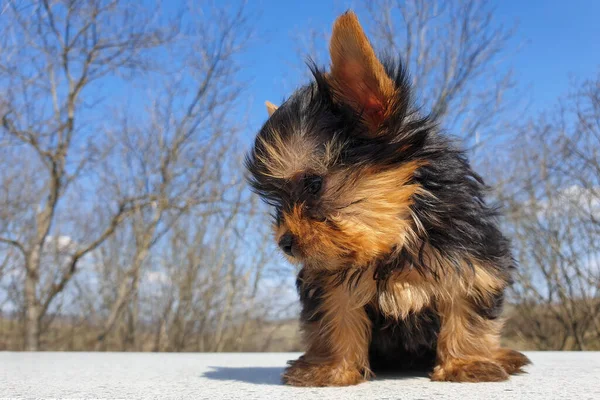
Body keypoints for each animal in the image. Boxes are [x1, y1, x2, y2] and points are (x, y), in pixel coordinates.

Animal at [244, 10, 528, 386]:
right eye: (278, 200)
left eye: (314, 185)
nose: (285, 243)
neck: (397, 237)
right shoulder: (330, 281)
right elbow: (338, 318)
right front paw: (331, 368)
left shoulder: (471, 262)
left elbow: (466, 311)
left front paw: (466, 363)